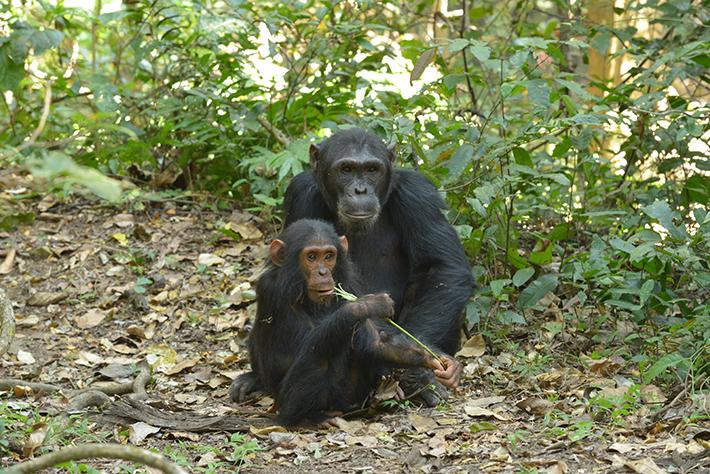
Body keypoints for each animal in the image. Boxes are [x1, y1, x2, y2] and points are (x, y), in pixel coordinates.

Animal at [229, 220, 440, 428]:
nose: (323, 272)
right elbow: (300, 348)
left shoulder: (351, 282)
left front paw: (425, 358)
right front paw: (365, 305)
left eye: (329, 256)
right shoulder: (271, 290)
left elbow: (373, 344)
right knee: (319, 356)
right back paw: (306, 418)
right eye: (311, 257)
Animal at [280, 128, 476, 406]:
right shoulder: (301, 193)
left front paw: (418, 368)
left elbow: (442, 266)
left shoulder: (418, 193)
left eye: (372, 169)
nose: (360, 190)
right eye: (347, 169)